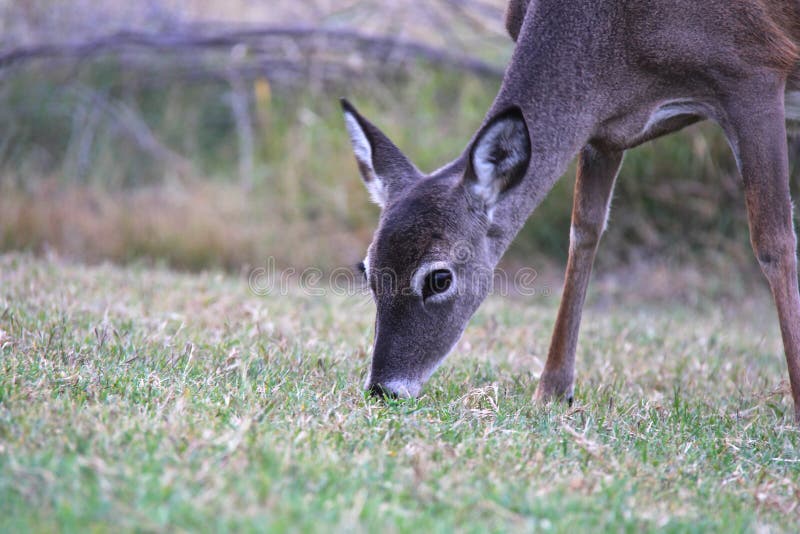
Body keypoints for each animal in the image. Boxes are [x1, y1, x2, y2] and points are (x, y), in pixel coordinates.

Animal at [341, 0, 800, 422]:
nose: (384, 389)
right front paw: (553, 390)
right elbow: (584, 231)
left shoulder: (753, 71)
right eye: (366, 270)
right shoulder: (606, 127)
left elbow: (773, 240)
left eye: (439, 278)